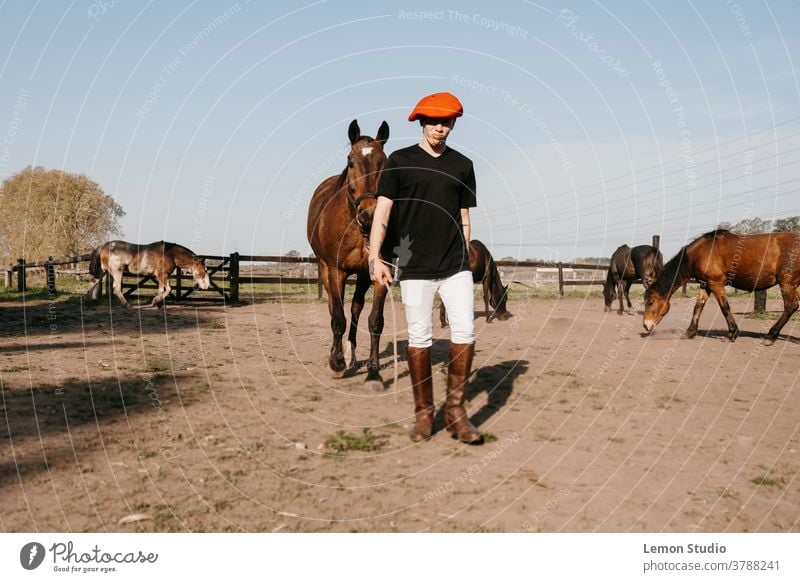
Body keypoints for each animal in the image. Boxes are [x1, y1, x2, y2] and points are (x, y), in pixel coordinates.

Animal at [306, 120, 390, 390]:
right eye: (350, 161)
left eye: (383, 161)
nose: (370, 215)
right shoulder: (335, 271)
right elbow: (338, 318)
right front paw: (336, 364)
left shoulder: (379, 272)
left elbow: (375, 321)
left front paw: (373, 372)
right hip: (326, 270)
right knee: (336, 308)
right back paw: (338, 356)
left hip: (362, 275)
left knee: (355, 308)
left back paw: (351, 354)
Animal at [640, 230, 800, 344]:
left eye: (651, 302)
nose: (646, 325)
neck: (701, 252)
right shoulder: (705, 285)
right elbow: (698, 307)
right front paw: (690, 332)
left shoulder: (715, 283)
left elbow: (725, 308)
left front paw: (732, 333)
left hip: (787, 283)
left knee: (790, 306)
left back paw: (771, 336)